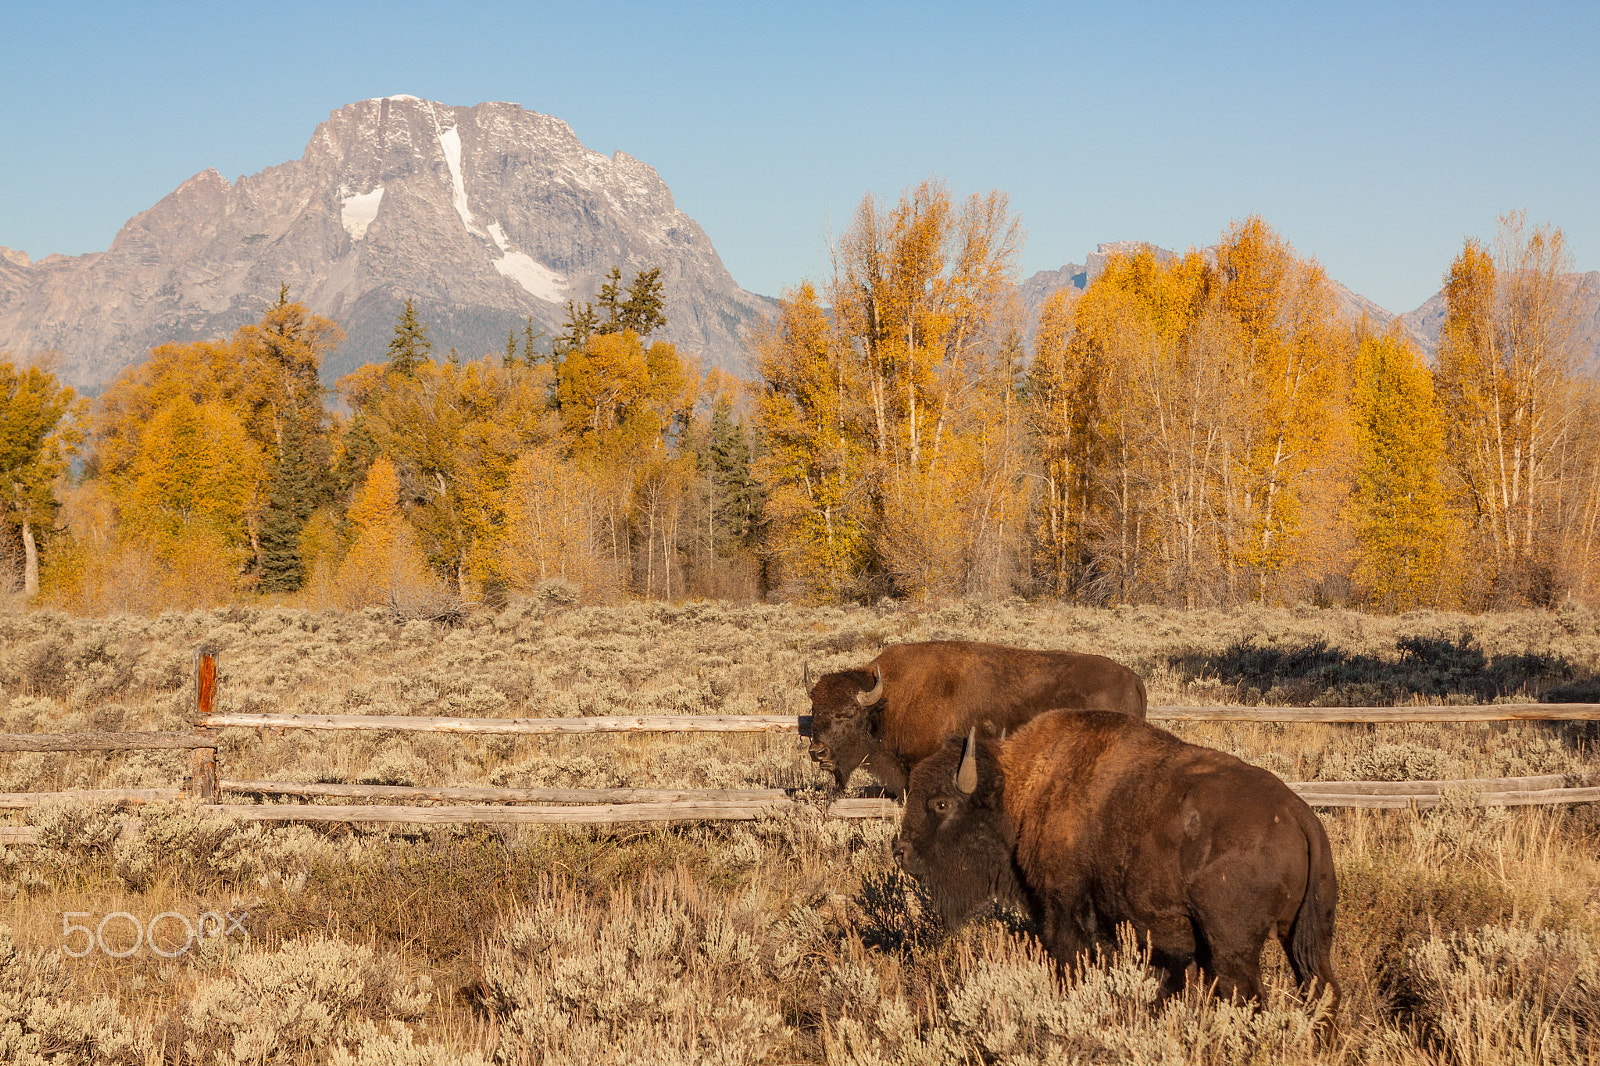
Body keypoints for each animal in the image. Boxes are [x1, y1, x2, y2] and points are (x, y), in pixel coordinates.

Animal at [902, 710, 1337, 1011]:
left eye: (940, 803)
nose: (900, 851)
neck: (1018, 791)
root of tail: (1298, 812)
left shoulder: (1064, 914)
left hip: (1233, 947)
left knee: (1247, 995)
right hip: (1305, 938)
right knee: (1323, 989)